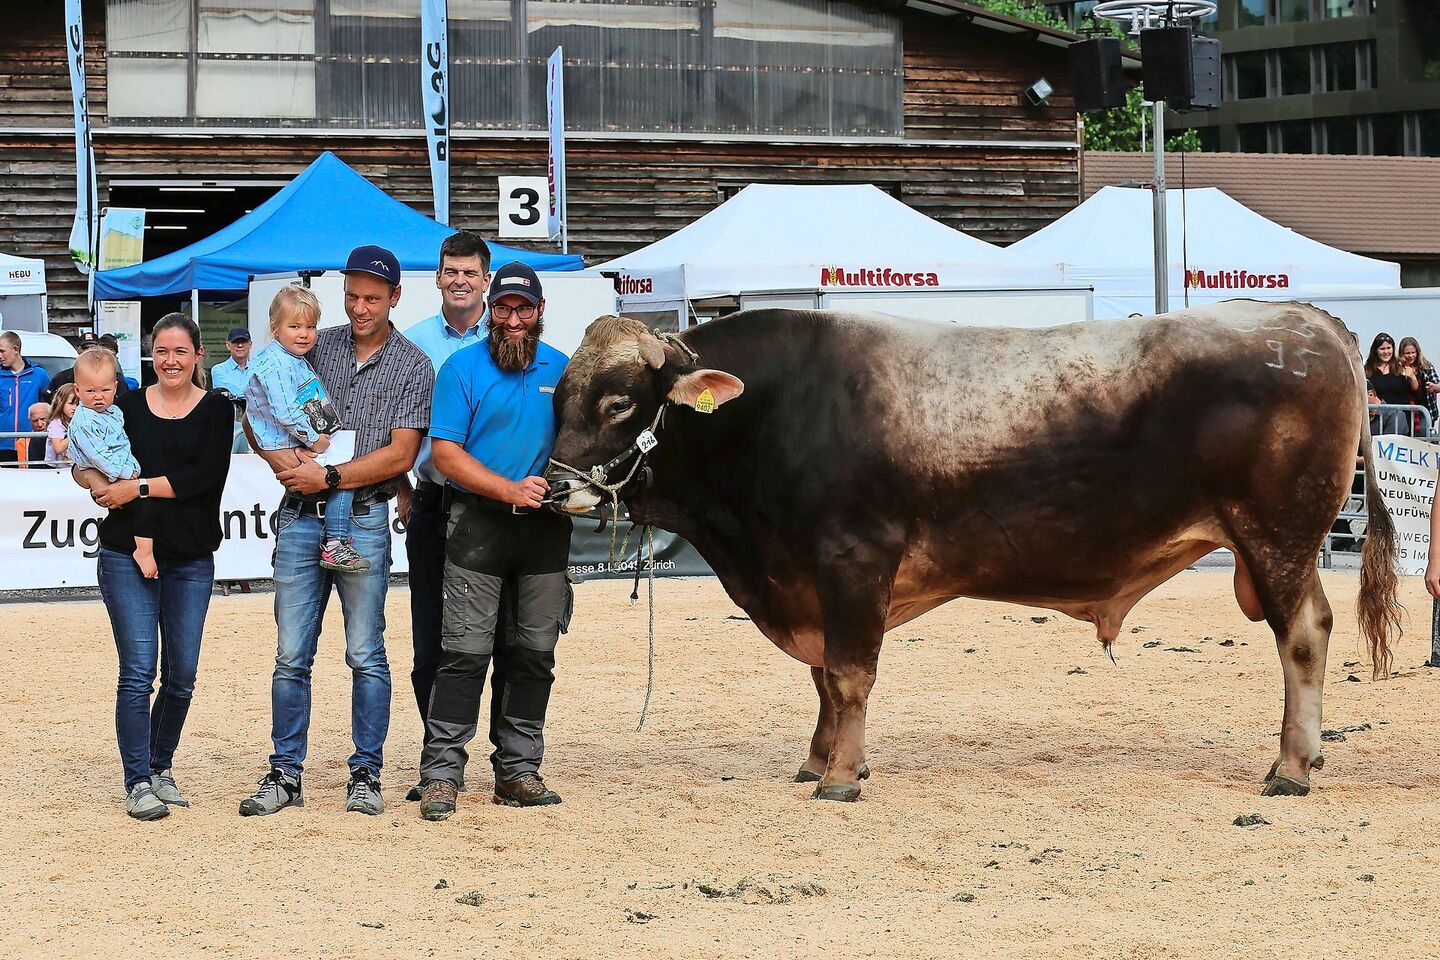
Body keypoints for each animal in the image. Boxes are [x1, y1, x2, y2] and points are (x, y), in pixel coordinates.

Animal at [545, 301, 1400, 802]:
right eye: (558, 396)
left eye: (619, 401)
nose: (553, 487)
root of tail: (1306, 320)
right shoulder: (812, 582)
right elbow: (823, 680)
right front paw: (819, 760)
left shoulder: (852, 561)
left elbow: (849, 675)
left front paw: (842, 778)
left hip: (1277, 539)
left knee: (1302, 637)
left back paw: (1291, 768)